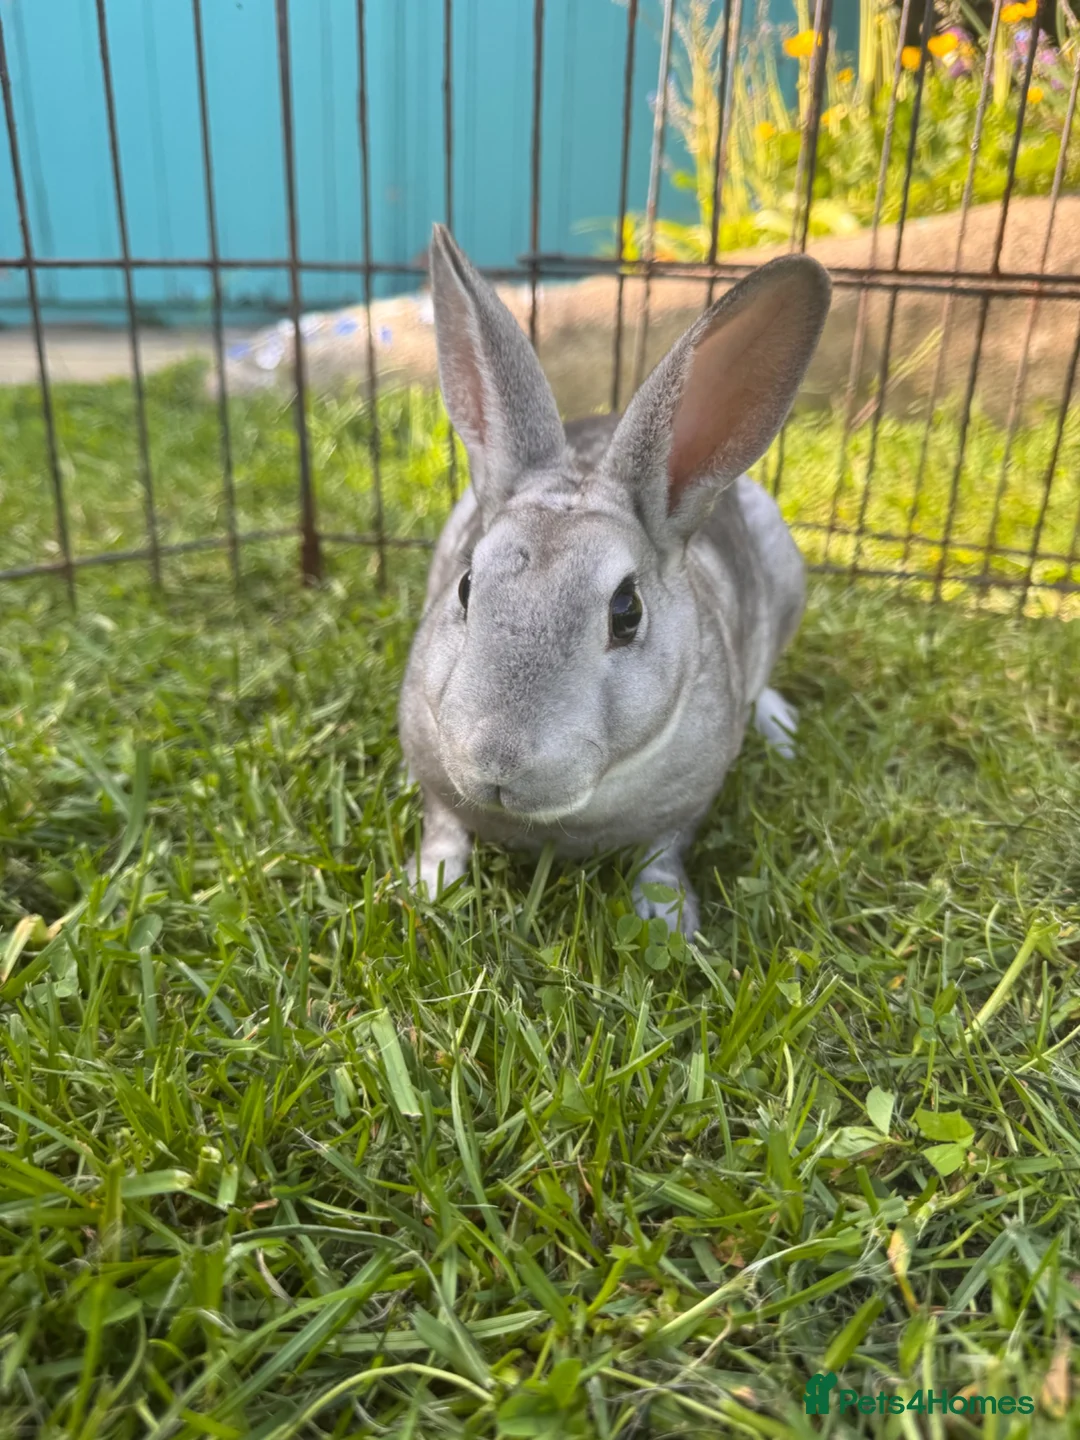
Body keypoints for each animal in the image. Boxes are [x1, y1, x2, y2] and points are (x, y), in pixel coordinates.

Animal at [397, 224, 831, 936]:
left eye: (626, 612)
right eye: (465, 586)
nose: (499, 763)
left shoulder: (687, 805)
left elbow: (663, 852)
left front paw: (667, 921)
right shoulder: (434, 778)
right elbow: (443, 829)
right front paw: (425, 886)